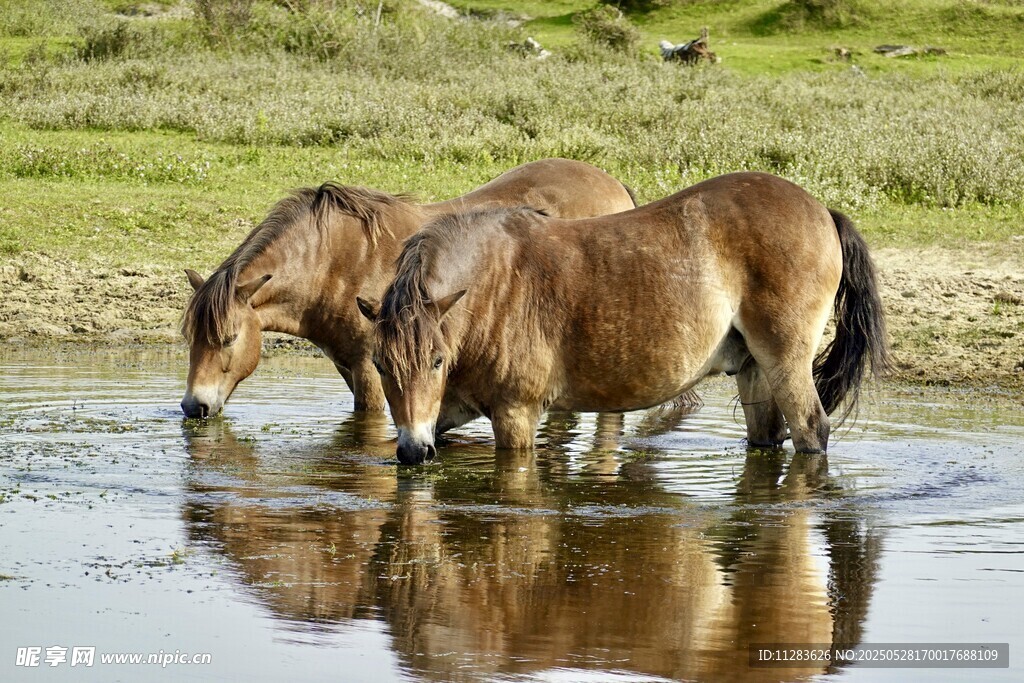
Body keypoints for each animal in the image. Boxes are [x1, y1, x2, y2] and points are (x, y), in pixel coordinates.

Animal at [180, 158, 637, 419]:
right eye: (189, 339)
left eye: (229, 338)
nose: (192, 406)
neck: (337, 261)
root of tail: (614, 184)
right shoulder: (351, 366)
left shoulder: (368, 368)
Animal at [359, 172, 891, 465]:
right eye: (382, 366)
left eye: (435, 361)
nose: (411, 452)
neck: (495, 282)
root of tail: (820, 209)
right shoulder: (447, 411)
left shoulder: (516, 415)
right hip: (755, 371)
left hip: (786, 361)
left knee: (810, 430)